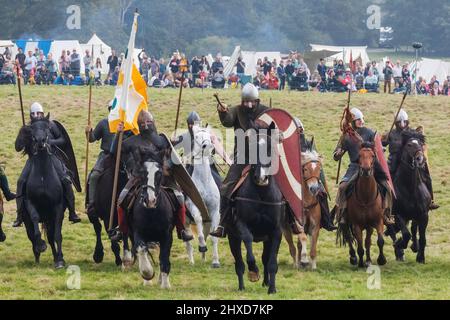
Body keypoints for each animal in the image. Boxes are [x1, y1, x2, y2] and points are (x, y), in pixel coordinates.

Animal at [21, 117, 65, 268]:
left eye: (47, 128)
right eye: (32, 129)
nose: (40, 141)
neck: (43, 175)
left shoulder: (57, 208)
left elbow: (57, 235)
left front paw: (60, 260)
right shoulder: (30, 203)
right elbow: (35, 221)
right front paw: (41, 245)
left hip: (49, 218)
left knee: (52, 236)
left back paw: (56, 258)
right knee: (32, 236)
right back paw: (37, 258)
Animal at [128, 148, 176, 288]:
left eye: (159, 173)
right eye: (142, 172)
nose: (150, 200)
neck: (152, 212)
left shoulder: (167, 235)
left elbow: (164, 258)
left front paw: (165, 285)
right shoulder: (138, 233)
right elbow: (141, 249)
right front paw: (147, 274)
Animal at [184, 125, 221, 268]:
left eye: (209, 136)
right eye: (197, 136)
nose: (207, 145)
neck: (204, 180)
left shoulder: (215, 213)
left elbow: (214, 237)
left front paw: (215, 261)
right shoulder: (193, 207)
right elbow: (198, 220)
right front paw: (201, 246)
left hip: (208, 222)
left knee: (205, 234)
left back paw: (204, 258)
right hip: (185, 221)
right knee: (188, 241)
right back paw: (192, 261)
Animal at [227, 123, 284, 296]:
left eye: (270, 149)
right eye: (252, 149)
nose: (261, 178)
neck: (261, 195)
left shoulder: (276, 232)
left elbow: (271, 262)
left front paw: (272, 288)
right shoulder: (241, 225)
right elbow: (248, 240)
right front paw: (253, 271)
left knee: (265, 259)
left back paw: (266, 282)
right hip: (232, 238)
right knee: (239, 263)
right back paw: (241, 286)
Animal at [388, 130, 430, 262]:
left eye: (421, 143)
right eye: (409, 145)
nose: (420, 158)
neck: (410, 189)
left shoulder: (423, 215)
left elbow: (422, 237)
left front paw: (420, 257)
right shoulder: (398, 214)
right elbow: (406, 234)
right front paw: (400, 244)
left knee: (413, 229)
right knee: (392, 231)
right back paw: (399, 251)